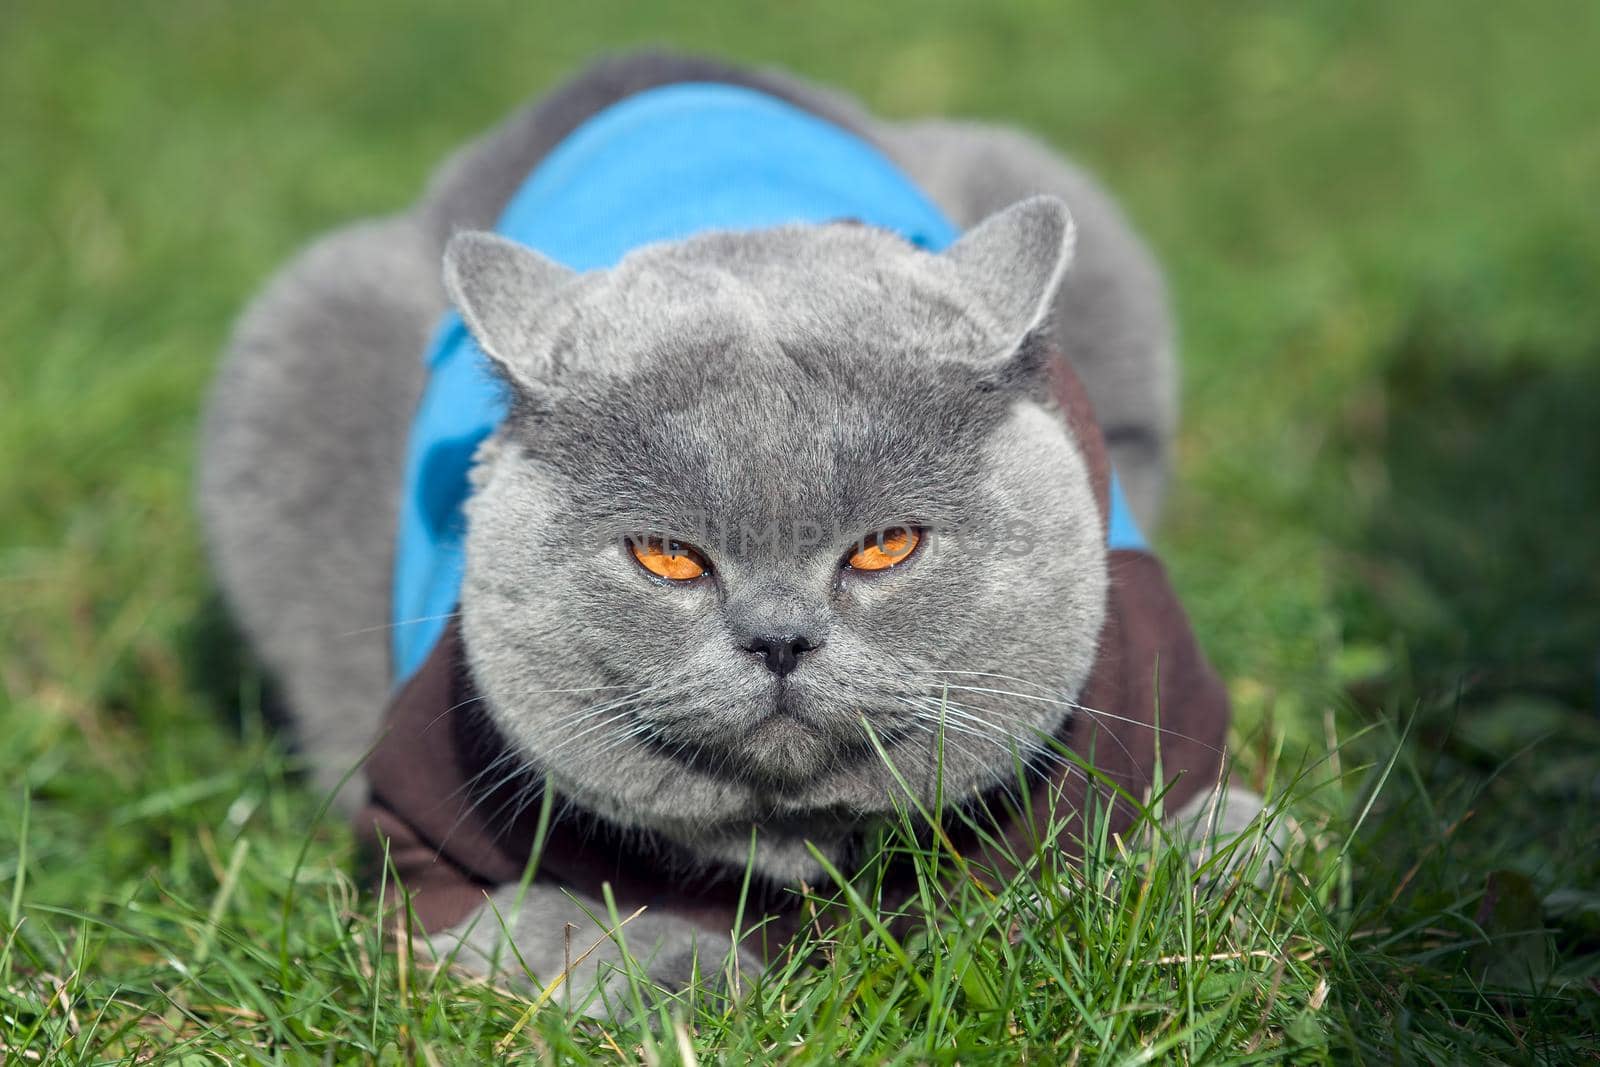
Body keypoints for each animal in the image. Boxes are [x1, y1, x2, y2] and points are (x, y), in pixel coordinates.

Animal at [196, 54, 1260, 1017]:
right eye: (667, 557)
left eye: (886, 545)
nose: (779, 640)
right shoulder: (432, 858)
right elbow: (557, 918)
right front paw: (696, 979)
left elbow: (1214, 852)